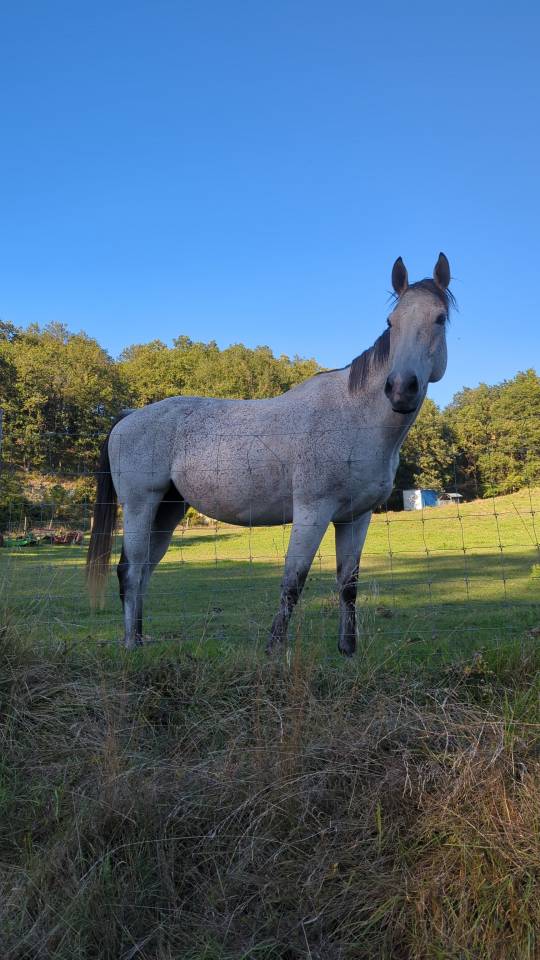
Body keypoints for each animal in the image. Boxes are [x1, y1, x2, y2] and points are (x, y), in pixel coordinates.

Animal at [87, 253, 453, 653]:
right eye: (391, 322)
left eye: (440, 318)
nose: (401, 388)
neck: (354, 417)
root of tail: (128, 416)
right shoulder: (312, 511)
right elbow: (293, 581)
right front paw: (275, 649)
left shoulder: (356, 518)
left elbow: (348, 586)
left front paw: (347, 651)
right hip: (141, 505)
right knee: (131, 570)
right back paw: (130, 646)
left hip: (167, 511)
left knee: (144, 573)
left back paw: (139, 640)